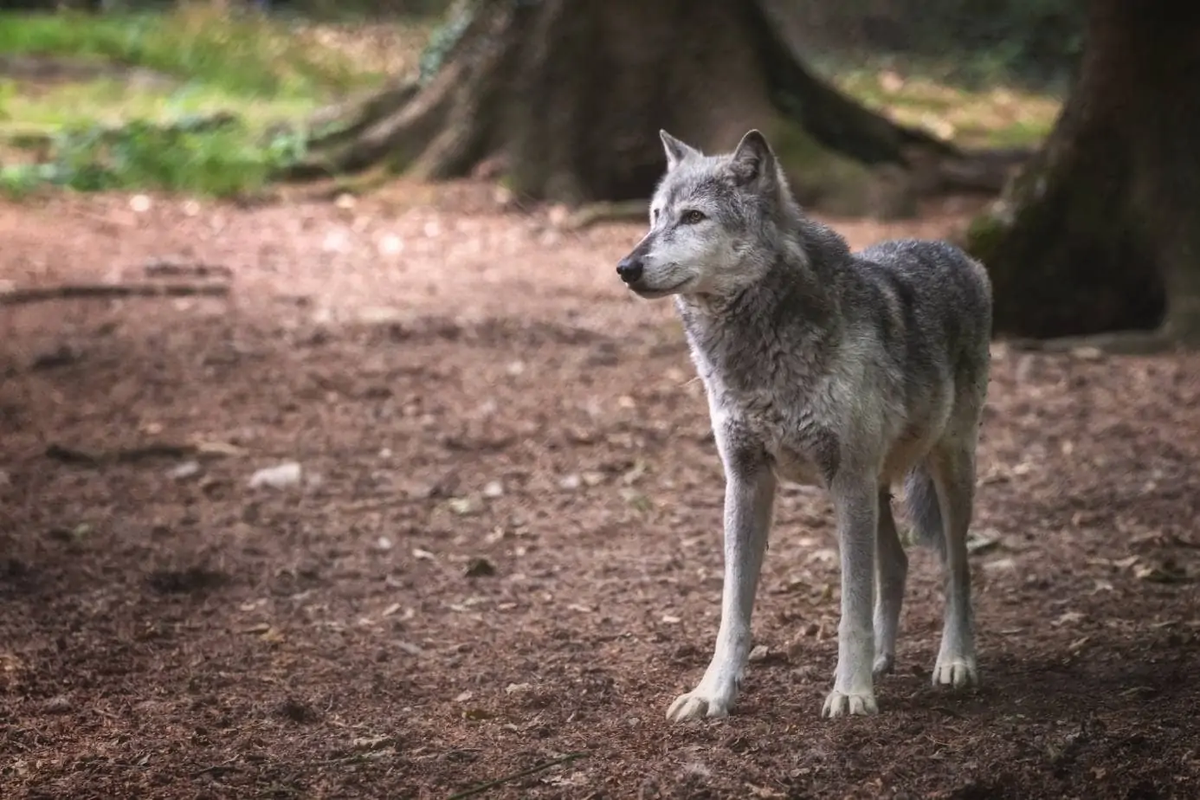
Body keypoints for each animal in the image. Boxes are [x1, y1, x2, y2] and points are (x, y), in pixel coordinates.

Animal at [614, 130, 988, 719]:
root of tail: (960, 255)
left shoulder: (847, 480)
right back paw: (882, 662)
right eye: (655, 216)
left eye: (694, 217)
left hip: (944, 470)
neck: (757, 353)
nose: (626, 266)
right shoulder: (747, 480)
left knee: (957, 568)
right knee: (897, 563)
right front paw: (712, 693)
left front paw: (851, 692)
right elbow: (733, 611)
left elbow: (851, 606)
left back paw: (955, 661)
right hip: (877, 488)